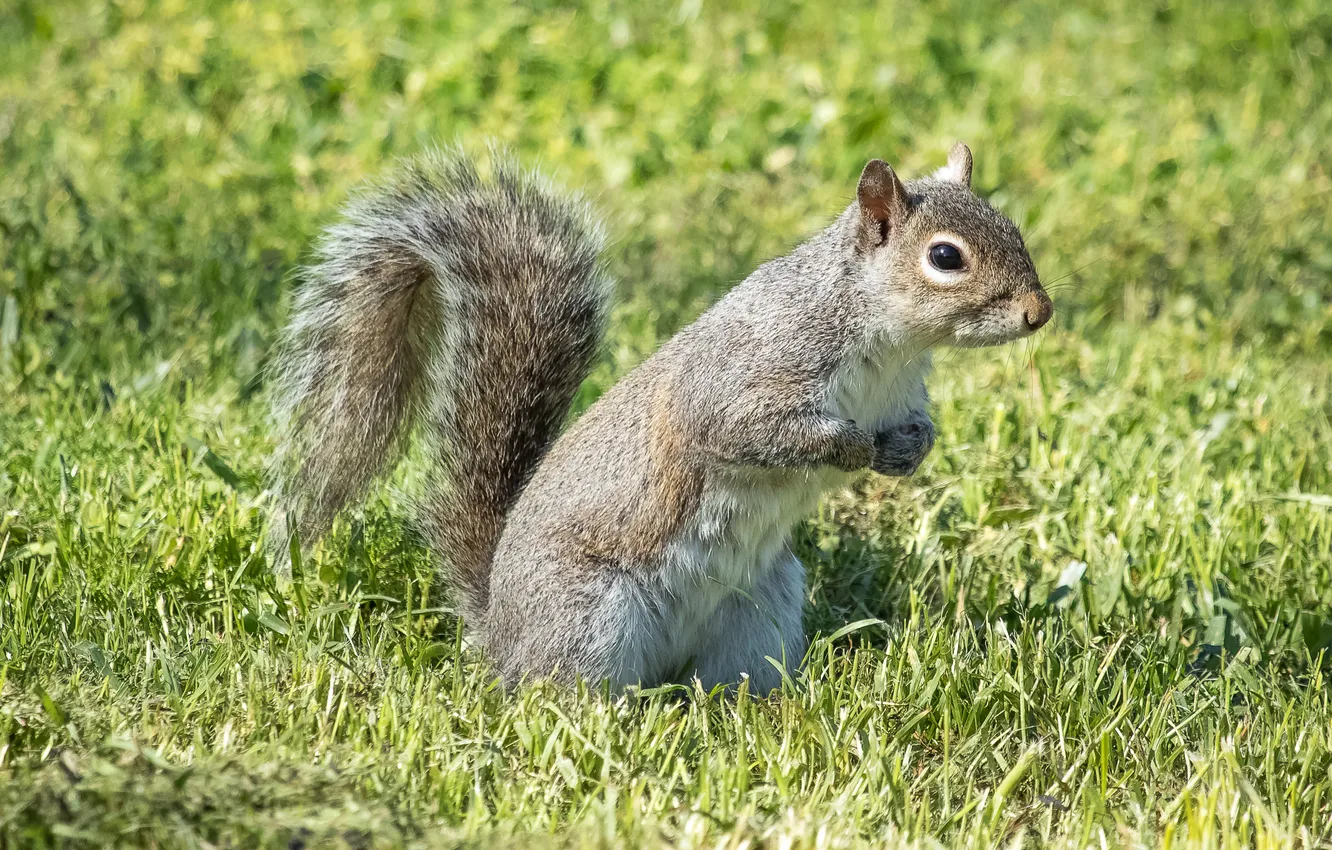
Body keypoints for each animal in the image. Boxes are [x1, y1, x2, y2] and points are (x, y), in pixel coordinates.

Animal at [268, 143, 1052, 692]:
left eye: (1016, 228)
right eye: (945, 257)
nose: (1039, 312)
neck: (887, 345)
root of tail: (497, 631)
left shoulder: (904, 394)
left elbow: (918, 429)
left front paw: (904, 452)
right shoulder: (744, 376)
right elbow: (746, 431)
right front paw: (849, 447)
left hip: (760, 607)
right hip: (587, 618)